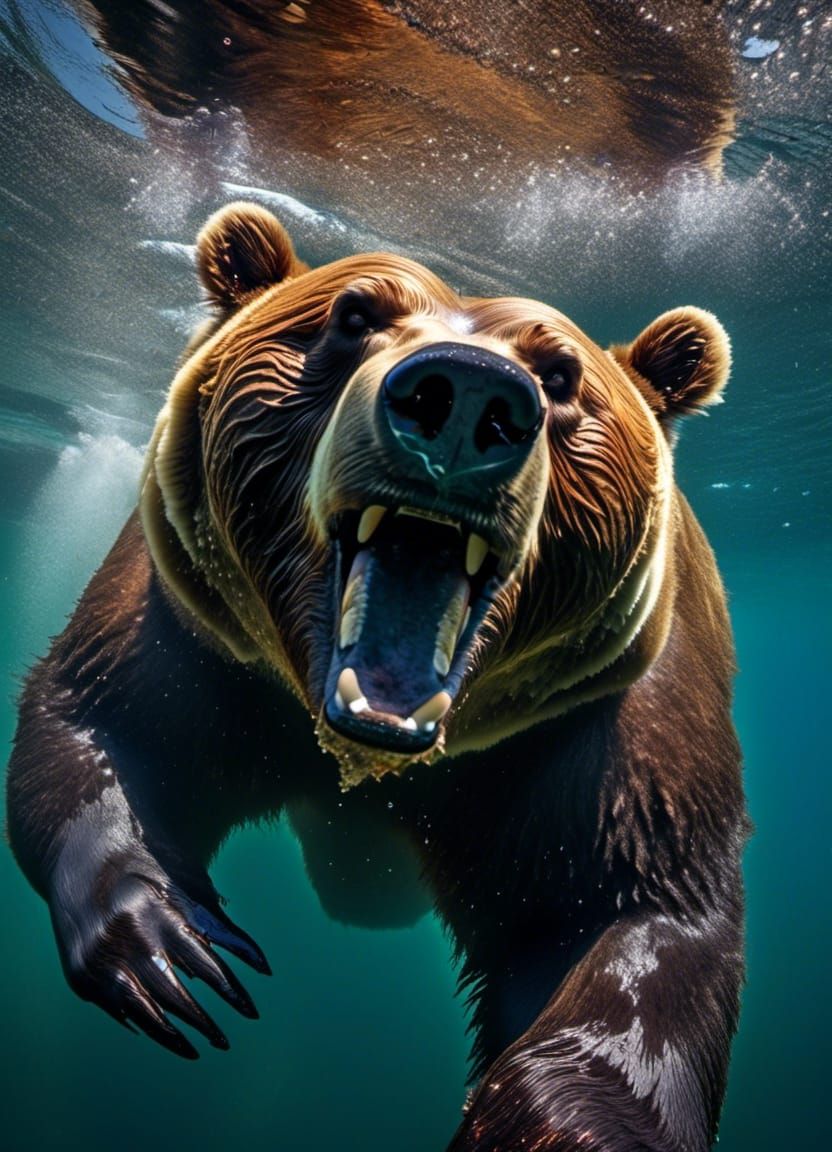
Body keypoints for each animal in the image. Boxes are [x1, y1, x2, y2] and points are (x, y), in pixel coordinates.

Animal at [7, 202, 747, 1152]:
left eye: (561, 371)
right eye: (354, 314)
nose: (464, 394)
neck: (374, 752)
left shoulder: (602, 726)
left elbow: (634, 917)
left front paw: (546, 1120)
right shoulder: (197, 632)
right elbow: (102, 722)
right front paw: (174, 949)